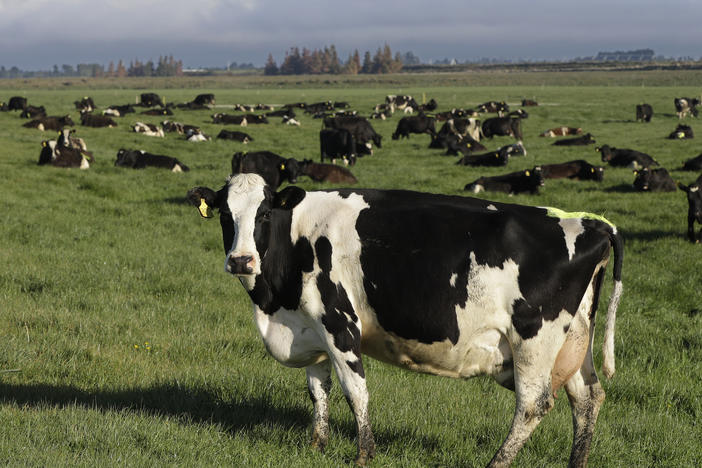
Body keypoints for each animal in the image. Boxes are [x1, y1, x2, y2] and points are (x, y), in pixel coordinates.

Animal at [188, 175, 628, 468]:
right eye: (225, 215)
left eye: (264, 213)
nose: (241, 260)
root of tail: (592, 222)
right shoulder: (311, 326)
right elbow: (318, 389)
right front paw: (317, 445)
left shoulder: (340, 323)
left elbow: (355, 391)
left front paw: (364, 455)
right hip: (573, 341)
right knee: (588, 399)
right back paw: (576, 463)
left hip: (534, 340)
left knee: (534, 404)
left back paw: (496, 464)